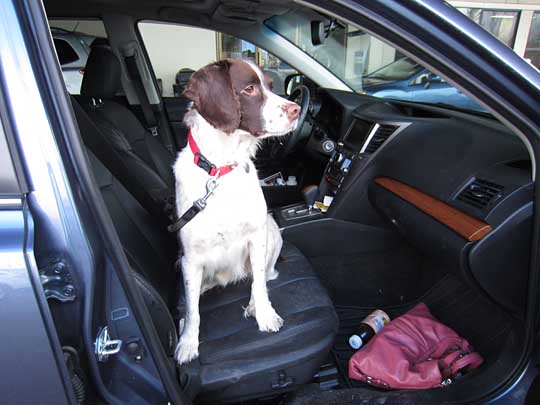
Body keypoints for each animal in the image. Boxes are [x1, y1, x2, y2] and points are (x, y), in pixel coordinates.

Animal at [172, 59, 300, 362]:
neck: (221, 169)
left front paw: (264, 315)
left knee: (261, 276)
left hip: (272, 233)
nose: (297, 109)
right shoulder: (190, 258)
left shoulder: (257, 235)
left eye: (271, 85)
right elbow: (193, 311)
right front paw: (188, 342)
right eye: (249, 89)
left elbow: (261, 284)